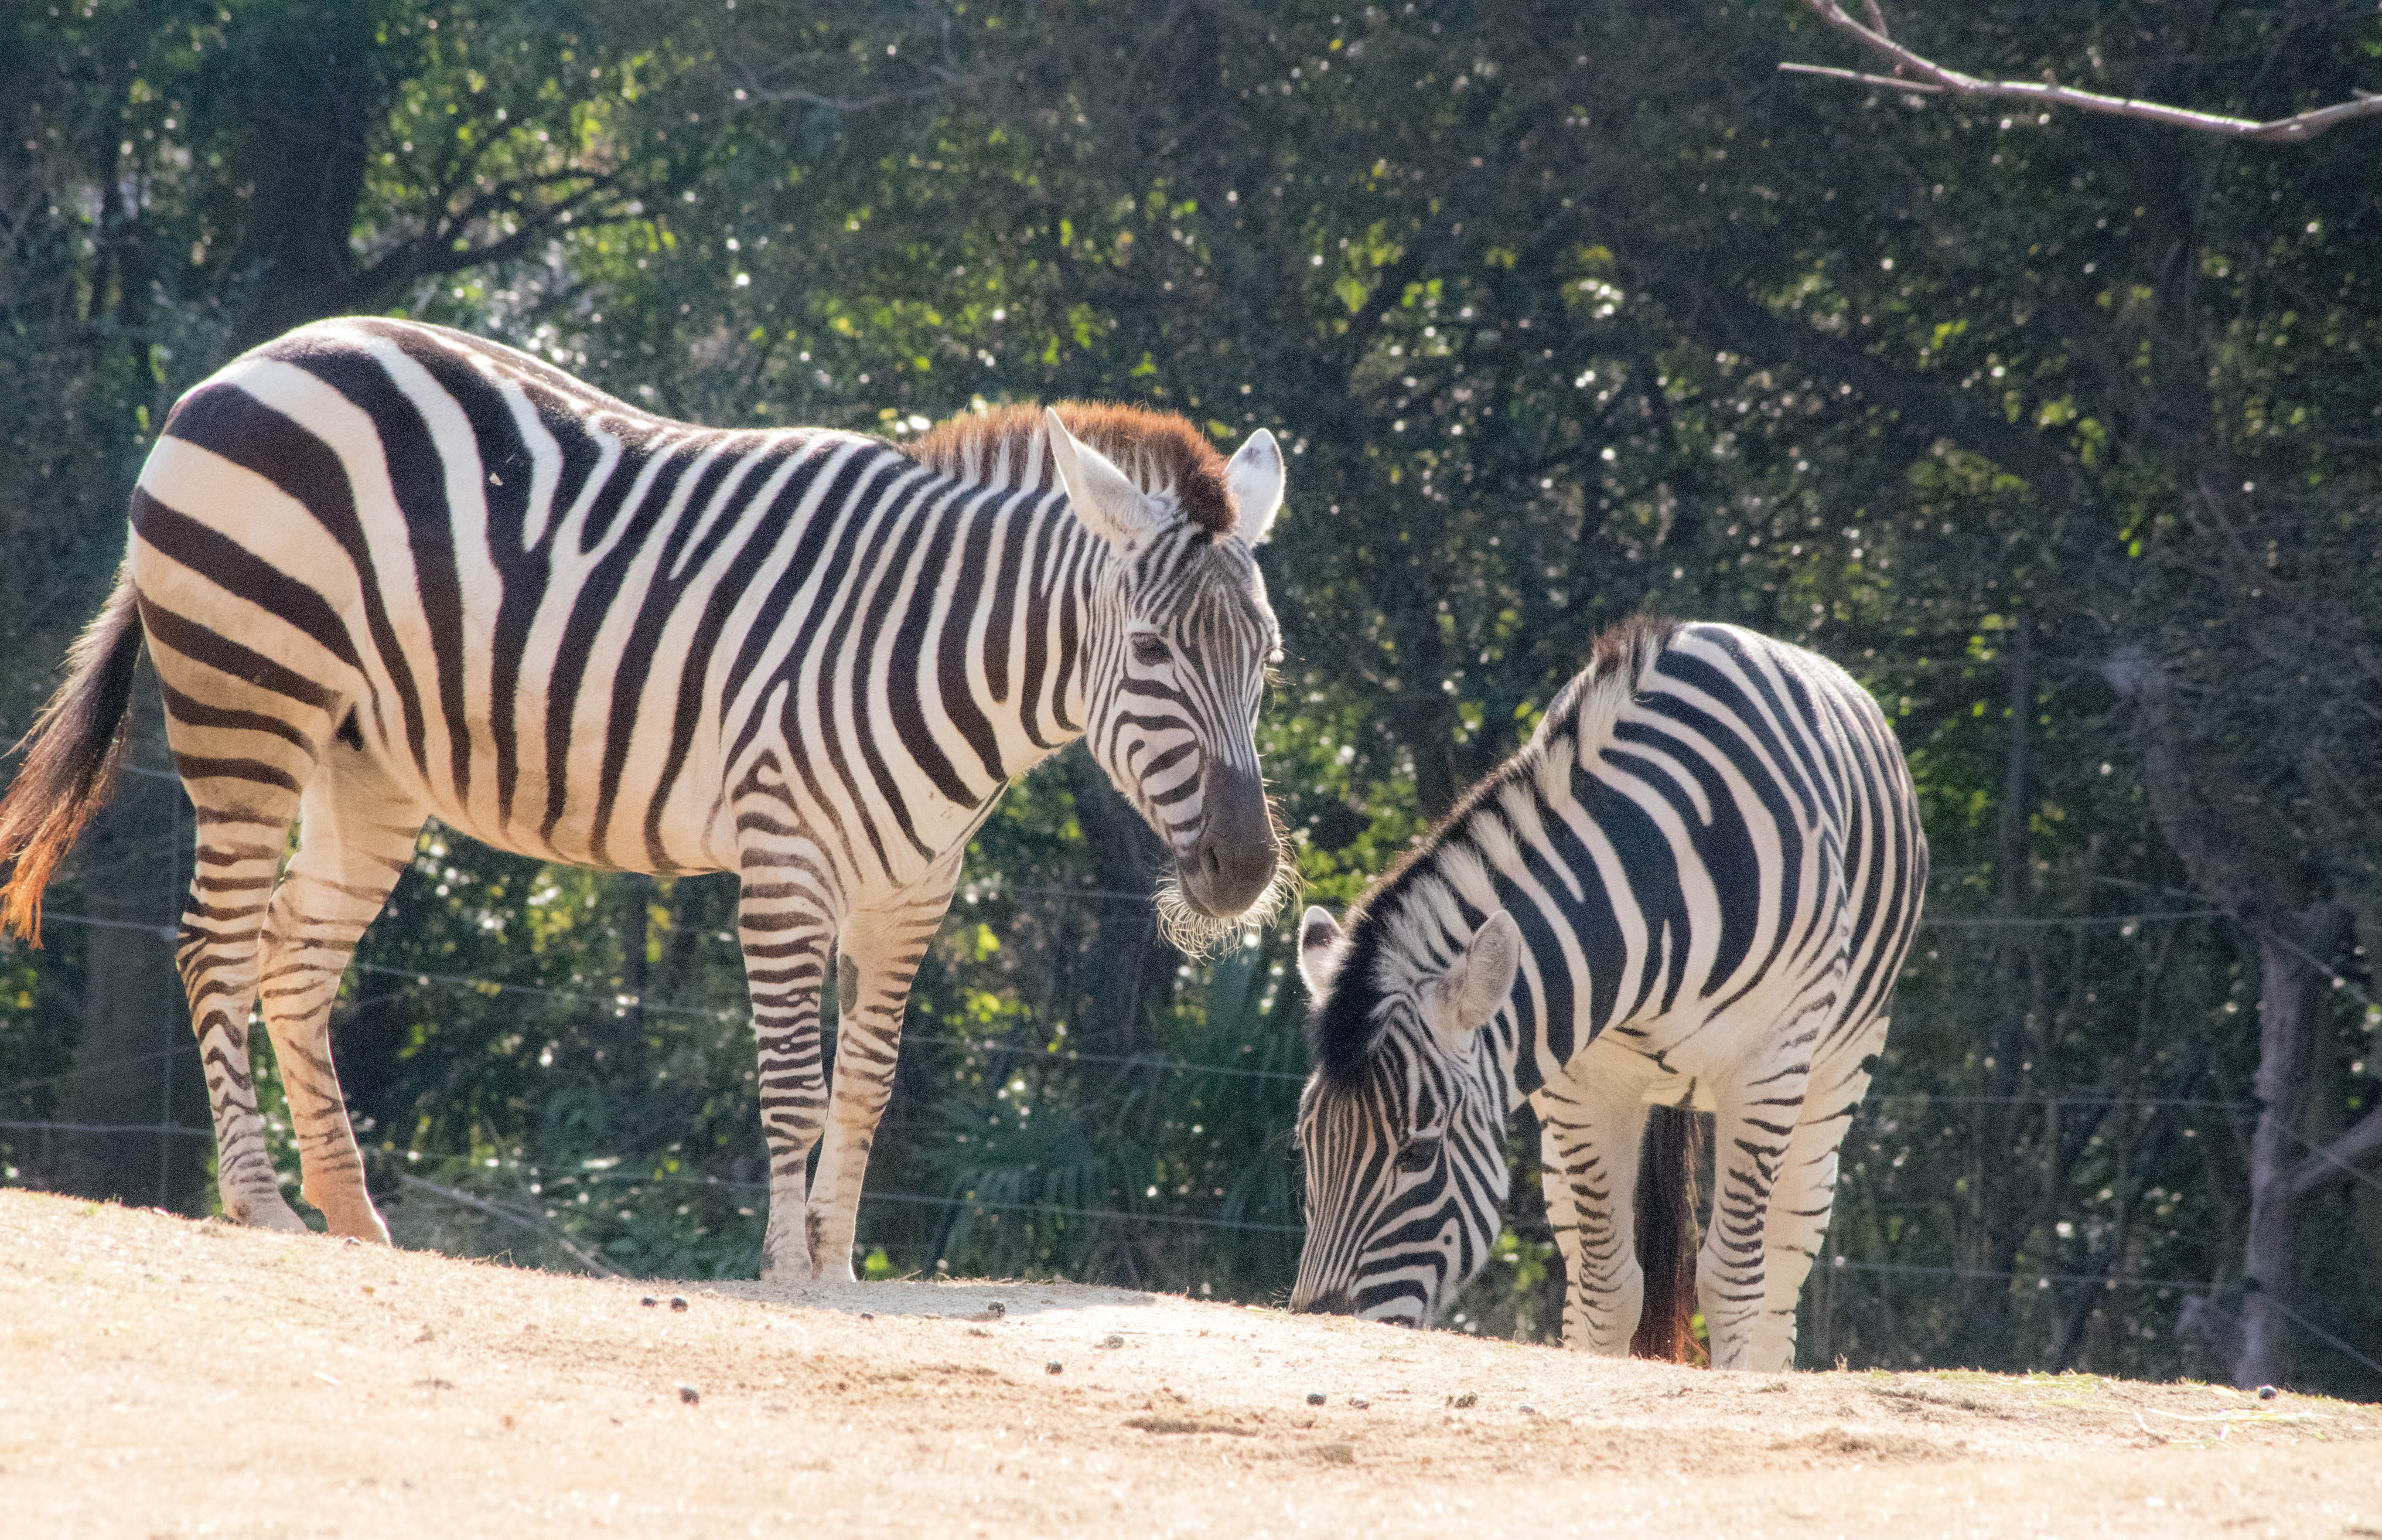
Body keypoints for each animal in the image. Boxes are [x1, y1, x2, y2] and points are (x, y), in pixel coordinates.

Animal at [0, 316, 1294, 1281]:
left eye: (1267, 657)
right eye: (1151, 652)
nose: (1242, 869)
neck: (927, 649)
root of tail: (247, 363)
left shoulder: (914, 889)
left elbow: (865, 1089)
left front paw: (836, 1268)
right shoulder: (784, 858)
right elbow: (791, 1085)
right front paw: (787, 1272)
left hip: (366, 760)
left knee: (292, 951)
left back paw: (354, 1217)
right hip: (251, 700)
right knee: (214, 940)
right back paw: (260, 1202)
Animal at [1288, 617, 1925, 1371]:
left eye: (1417, 1154)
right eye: (1304, 1147)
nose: (1315, 1329)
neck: (1657, 877)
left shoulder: (1766, 1067)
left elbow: (1733, 1283)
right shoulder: (1578, 1083)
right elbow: (1606, 1286)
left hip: (1832, 1077)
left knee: (1782, 1269)